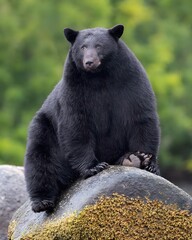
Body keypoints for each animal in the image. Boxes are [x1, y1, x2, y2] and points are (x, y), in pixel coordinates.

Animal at [24, 24, 160, 212]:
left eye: (99, 46)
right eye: (82, 47)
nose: (89, 62)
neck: (100, 76)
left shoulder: (131, 81)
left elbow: (141, 117)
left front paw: (145, 159)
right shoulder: (74, 89)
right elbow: (76, 125)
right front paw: (94, 166)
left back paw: (130, 159)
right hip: (45, 127)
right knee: (40, 158)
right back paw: (42, 201)